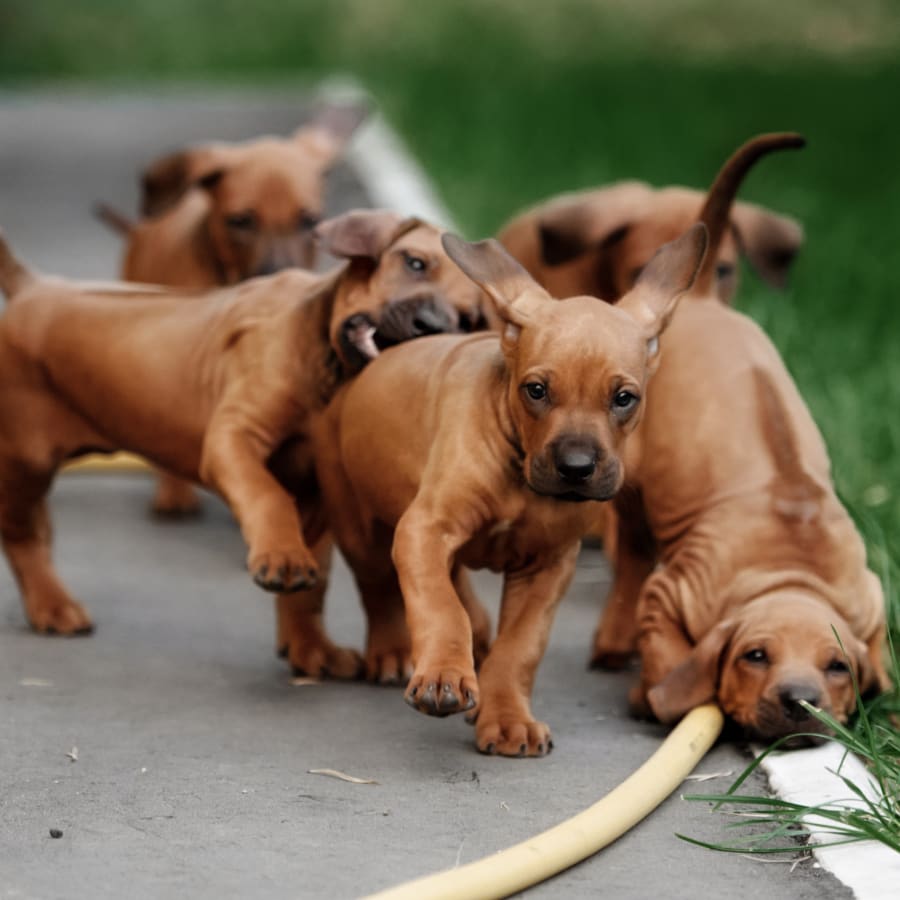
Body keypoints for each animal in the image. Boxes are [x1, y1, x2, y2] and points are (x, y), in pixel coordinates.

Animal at [0, 209, 486, 676]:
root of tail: (32, 287)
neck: (327, 360)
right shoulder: (234, 437)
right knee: (22, 534)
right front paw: (283, 557)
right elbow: (266, 495)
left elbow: (314, 584)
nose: (432, 326)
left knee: (38, 527)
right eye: (414, 262)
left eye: (468, 319)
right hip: (25, 459)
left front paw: (311, 648)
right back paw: (51, 605)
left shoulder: (316, 492)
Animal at [312, 221, 708, 756]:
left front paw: (505, 718)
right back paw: (394, 652)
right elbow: (439, 606)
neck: (519, 471)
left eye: (625, 398)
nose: (576, 468)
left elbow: (519, 647)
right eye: (535, 390)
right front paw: (444, 675)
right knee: (381, 587)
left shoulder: (548, 566)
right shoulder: (424, 529)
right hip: (359, 524)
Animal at [588, 132, 888, 740]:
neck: (792, 573)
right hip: (629, 475)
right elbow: (670, 655)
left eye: (836, 666)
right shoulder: (672, 593)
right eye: (756, 656)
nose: (801, 701)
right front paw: (657, 693)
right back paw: (612, 642)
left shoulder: (871, 598)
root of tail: (701, 296)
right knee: (632, 554)